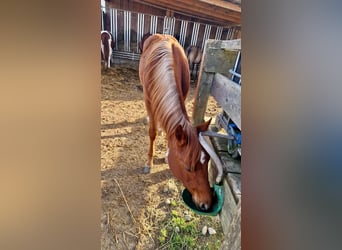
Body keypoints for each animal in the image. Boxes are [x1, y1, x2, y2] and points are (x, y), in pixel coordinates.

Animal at [140, 32, 222, 209]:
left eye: (207, 162)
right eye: (188, 168)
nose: (207, 203)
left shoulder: (182, 95)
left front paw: (166, 153)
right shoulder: (149, 101)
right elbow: (152, 132)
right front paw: (149, 162)